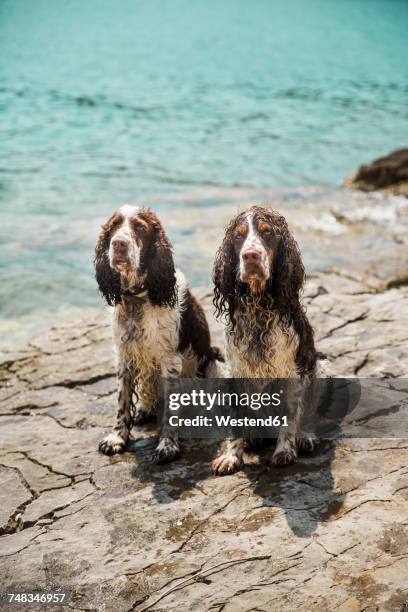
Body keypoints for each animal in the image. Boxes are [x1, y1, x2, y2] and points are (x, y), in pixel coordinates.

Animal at [95, 203, 223, 462]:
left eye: (139, 228)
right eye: (114, 226)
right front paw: (117, 438)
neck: (138, 299)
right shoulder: (124, 355)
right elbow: (123, 401)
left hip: (212, 362)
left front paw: (167, 445)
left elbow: (170, 410)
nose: (119, 244)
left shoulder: (169, 360)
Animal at [212, 206, 320, 474]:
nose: (250, 256)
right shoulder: (236, 372)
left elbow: (290, 415)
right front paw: (231, 455)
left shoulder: (293, 371)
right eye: (239, 235)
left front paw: (284, 451)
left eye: (267, 232)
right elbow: (235, 418)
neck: (259, 306)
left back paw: (305, 436)